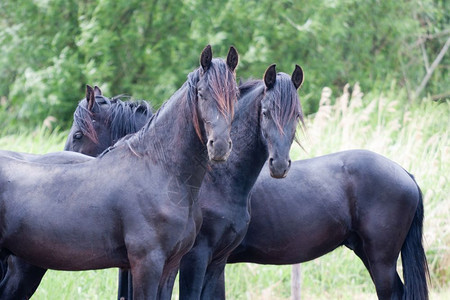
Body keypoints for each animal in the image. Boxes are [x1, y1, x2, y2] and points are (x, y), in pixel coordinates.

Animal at [0, 45, 239, 300]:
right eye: (201, 93)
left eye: (235, 93)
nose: (219, 146)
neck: (162, 172)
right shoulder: (146, 264)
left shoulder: (171, 266)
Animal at [178, 64, 304, 298]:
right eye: (265, 113)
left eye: (297, 115)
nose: (279, 165)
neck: (216, 181)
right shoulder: (195, 257)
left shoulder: (218, 260)